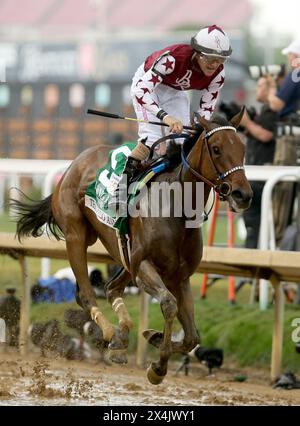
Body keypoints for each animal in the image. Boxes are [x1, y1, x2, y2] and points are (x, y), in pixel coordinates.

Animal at [10, 108, 252, 384]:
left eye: (242, 148)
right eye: (216, 148)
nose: (243, 195)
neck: (175, 208)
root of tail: (75, 163)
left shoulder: (179, 277)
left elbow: (192, 336)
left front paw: (155, 337)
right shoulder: (144, 265)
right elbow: (169, 304)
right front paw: (158, 367)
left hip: (121, 254)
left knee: (111, 288)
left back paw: (121, 337)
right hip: (77, 236)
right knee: (86, 293)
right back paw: (110, 333)